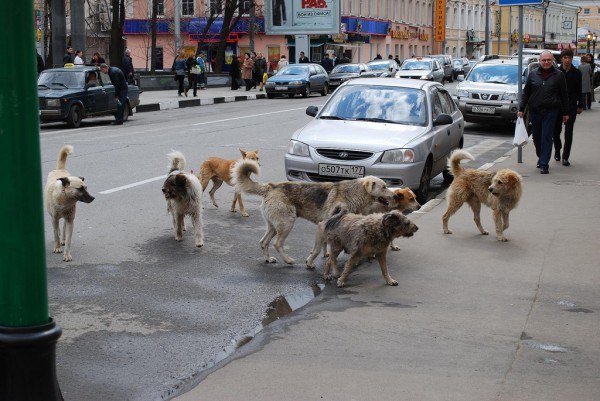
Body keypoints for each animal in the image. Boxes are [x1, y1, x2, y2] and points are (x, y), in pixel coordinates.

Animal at [234, 159, 398, 266]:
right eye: (384, 187)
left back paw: (268, 259)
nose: (395, 195)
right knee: (277, 244)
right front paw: (310, 263)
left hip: (274, 226)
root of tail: (269, 186)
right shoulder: (322, 225)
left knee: (264, 242)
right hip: (287, 223)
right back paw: (288, 260)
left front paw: (313, 259)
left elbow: (319, 247)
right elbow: (318, 249)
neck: (353, 194)